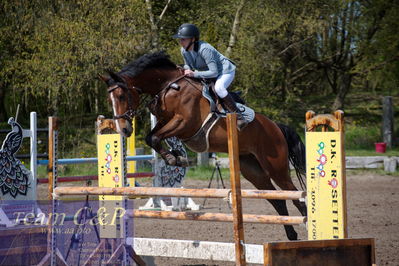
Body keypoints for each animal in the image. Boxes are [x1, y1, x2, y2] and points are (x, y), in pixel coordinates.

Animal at [100, 51, 310, 240]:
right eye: (110, 99)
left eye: (121, 96)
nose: (123, 129)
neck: (169, 86)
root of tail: (276, 126)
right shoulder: (165, 122)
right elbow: (151, 137)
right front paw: (175, 156)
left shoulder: (184, 123)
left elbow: (155, 137)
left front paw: (174, 158)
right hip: (254, 171)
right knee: (278, 200)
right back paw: (292, 235)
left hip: (276, 167)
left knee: (296, 196)